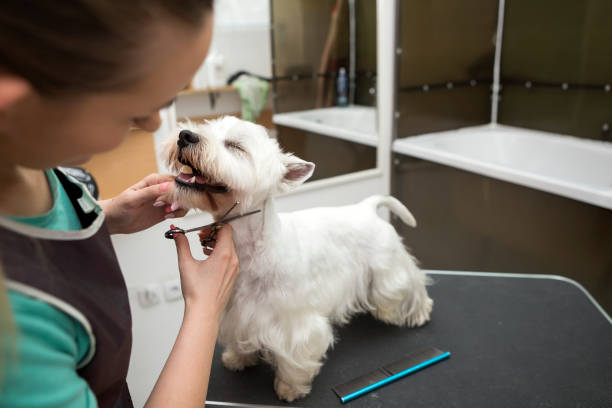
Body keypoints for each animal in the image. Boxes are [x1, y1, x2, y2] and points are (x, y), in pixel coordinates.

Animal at [161, 115, 430, 402]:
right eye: (206, 127)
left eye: (235, 146)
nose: (185, 136)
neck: (252, 246)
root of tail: (366, 207)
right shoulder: (236, 312)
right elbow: (240, 339)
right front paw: (238, 358)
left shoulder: (295, 325)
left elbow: (295, 359)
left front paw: (289, 388)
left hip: (388, 267)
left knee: (412, 284)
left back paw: (417, 312)